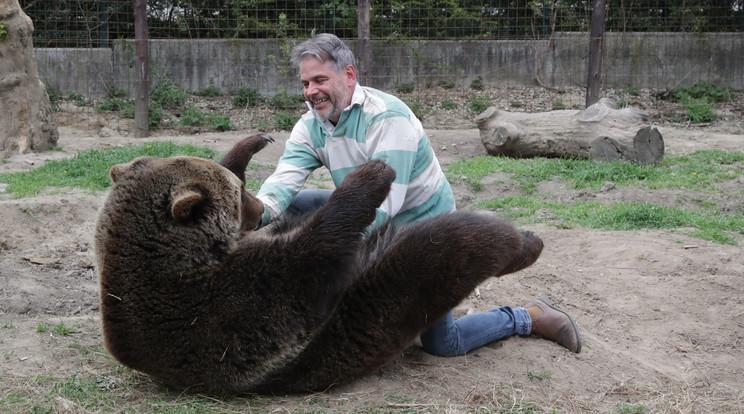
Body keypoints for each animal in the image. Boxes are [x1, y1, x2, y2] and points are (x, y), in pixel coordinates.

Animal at [96, 133, 544, 394]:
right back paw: (527, 243)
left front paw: (251, 143)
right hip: (392, 296)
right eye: (240, 195)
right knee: (455, 244)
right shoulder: (231, 310)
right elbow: (315, 256)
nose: (259, 209)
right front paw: (373, 171)